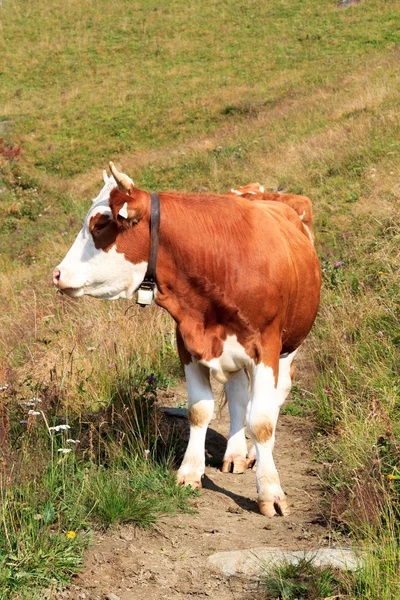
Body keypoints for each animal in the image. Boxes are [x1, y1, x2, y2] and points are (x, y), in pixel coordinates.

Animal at [54, 163, 322, 516]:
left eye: (99, 223)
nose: (57, 274)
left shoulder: (266, 346)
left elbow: (262, 421)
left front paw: (270, 491)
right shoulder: (187, 342)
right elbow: (200, 409)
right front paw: (190, 472)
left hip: (289, 348)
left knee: (275, 398)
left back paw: (255, 454)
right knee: (238, 394)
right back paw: (236, 453)